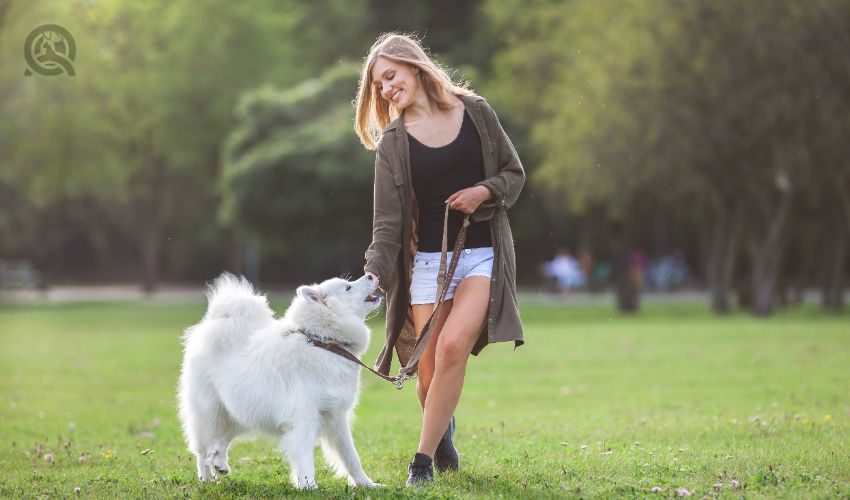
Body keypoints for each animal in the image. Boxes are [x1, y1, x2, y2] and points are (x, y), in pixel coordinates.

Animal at [179, 274, 380, 488]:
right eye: (348, 287)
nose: (371, 275)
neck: (323, 342)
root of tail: (215, 322)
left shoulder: (337, 418)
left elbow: (351, 457)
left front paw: (367, 484)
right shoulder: (303, 419)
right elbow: (305, 458)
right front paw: (309, 486)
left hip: (239, 412)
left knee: (220, 441)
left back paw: (219, 463)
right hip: (210, 414)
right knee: (202, 451)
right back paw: (206, 478)